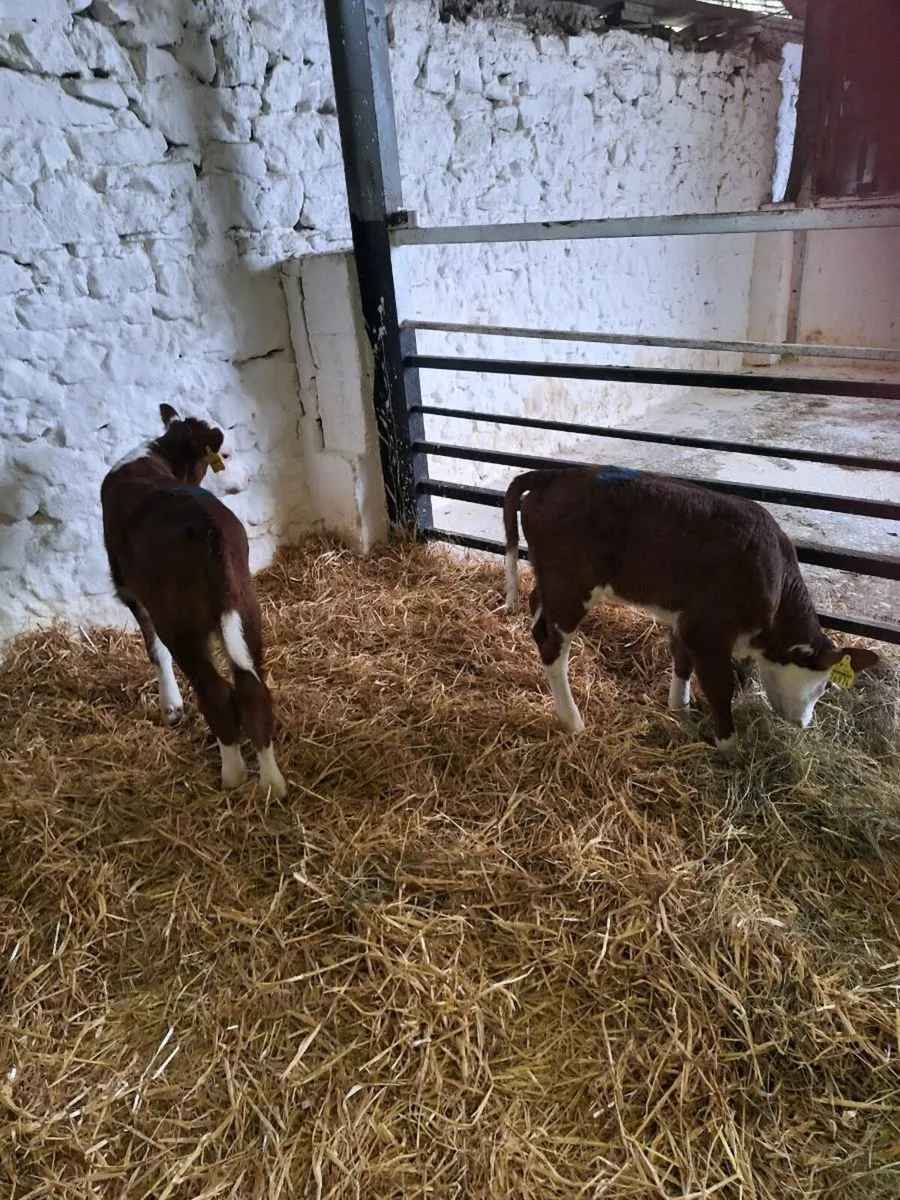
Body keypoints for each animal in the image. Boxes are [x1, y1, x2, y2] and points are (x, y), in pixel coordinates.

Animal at [101, 403, 287, 797]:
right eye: (226, 454)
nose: (249, 479)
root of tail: (207, 529)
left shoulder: (131, 592)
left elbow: (155, 649)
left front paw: (170, 707)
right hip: (245, 603)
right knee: (252, 688)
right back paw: (272, 783)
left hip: (179, 620)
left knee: (214, 691)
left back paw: (233, 773)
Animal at [502, 466, 880, 751]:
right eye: (824, 687)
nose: (804, 723)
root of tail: (554, 473)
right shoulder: (708, 629)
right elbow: (720, 687)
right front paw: (730, 747)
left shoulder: (686, 618)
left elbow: (681, 659)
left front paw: (679, 710)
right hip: (570, 586)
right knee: (553, 648)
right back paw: (573, 721)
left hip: (548, 579)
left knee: (538, 614)